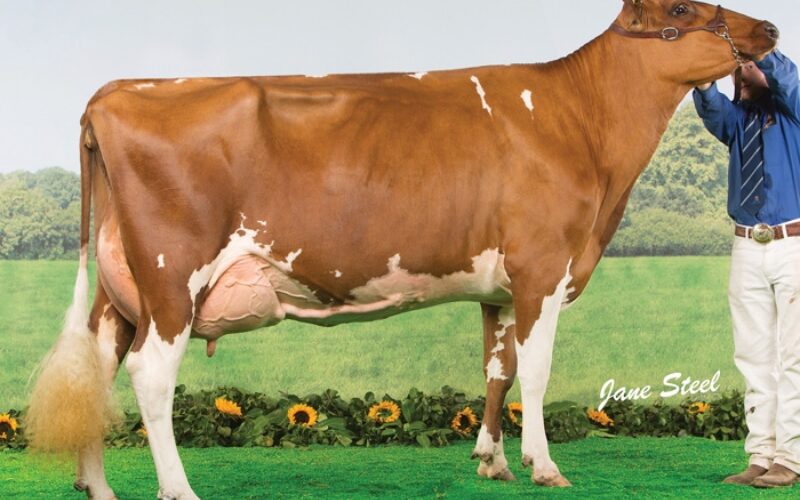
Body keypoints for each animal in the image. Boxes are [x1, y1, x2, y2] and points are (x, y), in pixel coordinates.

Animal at [26, 1, 777, 498]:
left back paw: (98, 487)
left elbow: (497, 370)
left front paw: (492, 461)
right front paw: (544, 466)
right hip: (171, 278)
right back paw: (177, 489)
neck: (579, 126)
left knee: (96, 371)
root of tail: (118, 91)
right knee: (149, 376)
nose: (769, 29)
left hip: (121, 290)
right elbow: (536, 374)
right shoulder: (542, 267)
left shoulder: (500, 285)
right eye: (682, 8)